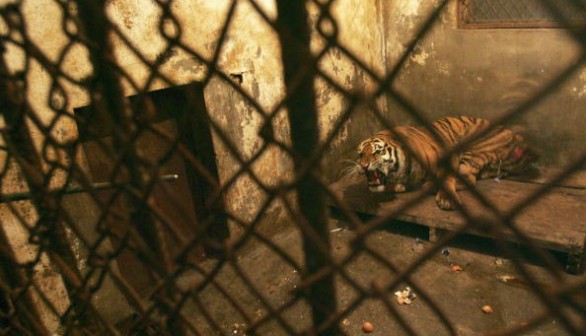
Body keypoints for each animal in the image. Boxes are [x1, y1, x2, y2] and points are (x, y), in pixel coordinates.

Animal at [352, 115, 540, 210]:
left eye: (378, 151)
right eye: (360, 154)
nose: (363, 166)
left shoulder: (449, 158)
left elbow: (447, 179)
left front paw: (446, 199)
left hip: (472, 147)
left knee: (469, 179)